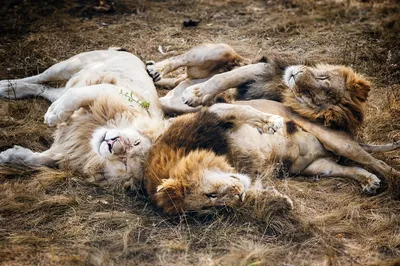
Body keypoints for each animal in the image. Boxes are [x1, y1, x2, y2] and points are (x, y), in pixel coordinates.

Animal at [0, 48, 166, 187]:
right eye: (137, 142)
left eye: (125, 162)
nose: (113, 143)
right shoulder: (117, 92)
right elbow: (82, 94)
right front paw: (54, 114)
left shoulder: (69, 150)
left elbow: (42, 159)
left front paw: (11, 156)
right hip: (70, 65)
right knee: (40, 78)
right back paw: (6, 85)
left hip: (59, 89)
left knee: (44, 89)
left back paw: (11, 90)